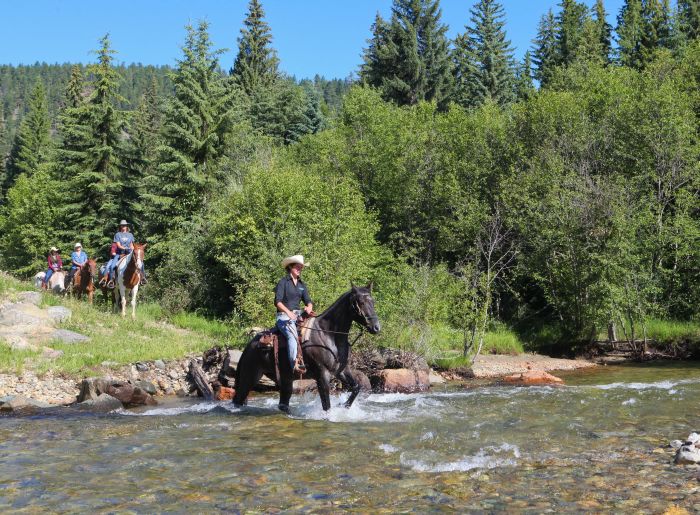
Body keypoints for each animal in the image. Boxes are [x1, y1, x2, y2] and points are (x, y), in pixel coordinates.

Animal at [234, 284, 378, 414]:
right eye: (361, 302)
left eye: (373, 302)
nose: (376, 327)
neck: (328, 334)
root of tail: (249, 346)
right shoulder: (322, 375)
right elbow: (326, 405)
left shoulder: (341, 370)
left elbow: (356, 387)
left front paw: (344, 406)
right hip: (249, 377)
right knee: (238, 400)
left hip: (286, 380)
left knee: (283, 404)